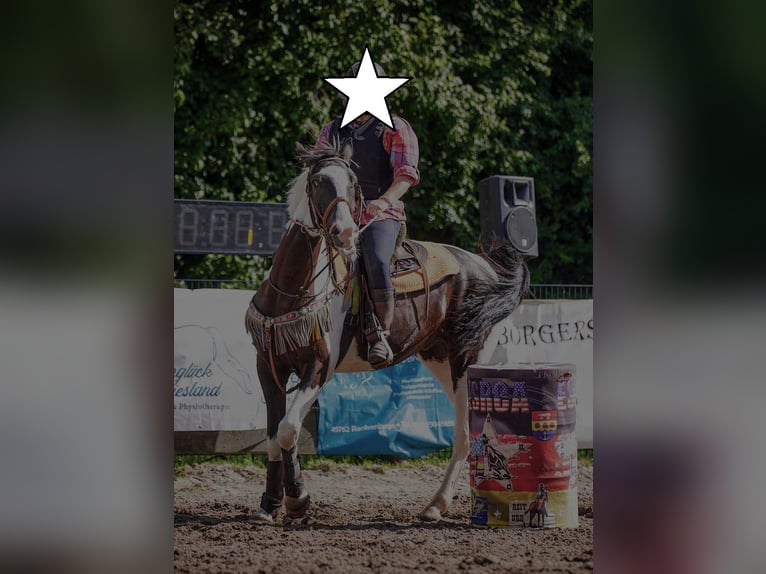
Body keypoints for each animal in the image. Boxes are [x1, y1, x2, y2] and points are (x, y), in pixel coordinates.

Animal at [245, 140, 529, 523]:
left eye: (353, 184)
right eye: (318, 182)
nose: (345, 232)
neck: (293, 289)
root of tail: (487, 269)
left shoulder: (318, 369)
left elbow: (289, 429)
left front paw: (297, 499)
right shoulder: (268, 367)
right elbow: (275, 435)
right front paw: (270, 503)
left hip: (469, 361)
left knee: (466, 434)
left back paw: (440, 505)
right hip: (439, 360)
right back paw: (439, 504)